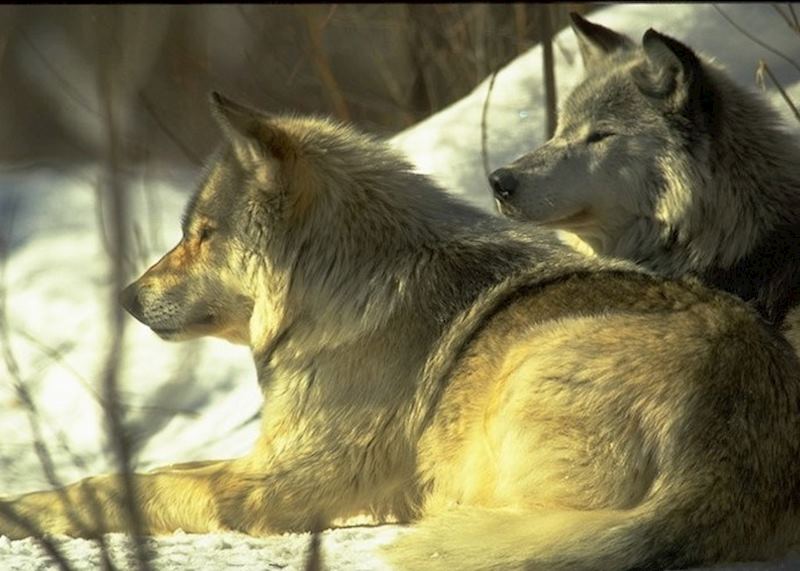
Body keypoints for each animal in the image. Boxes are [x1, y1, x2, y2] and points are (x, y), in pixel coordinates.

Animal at [2, 93, 800, 571]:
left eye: (199, 235)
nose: (127, 298)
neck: (337, 296)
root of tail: (729, 450)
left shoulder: (271, 486)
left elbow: (121, 484)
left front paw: (23, 512)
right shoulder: (266, 456)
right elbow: (151, 471)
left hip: (516, 384)